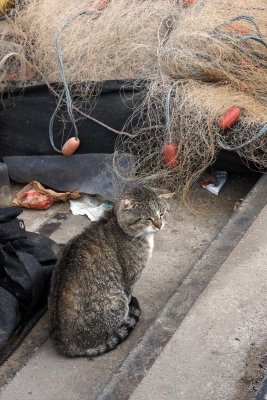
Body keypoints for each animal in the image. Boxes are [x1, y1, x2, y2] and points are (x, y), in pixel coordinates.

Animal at [49, 186, 171, 358]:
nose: (159, 225)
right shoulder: (129, 279)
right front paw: (128, 315)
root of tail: (65, 345)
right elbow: (129, 296)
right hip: (116, 300)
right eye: (147, 218)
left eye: (161, 214)